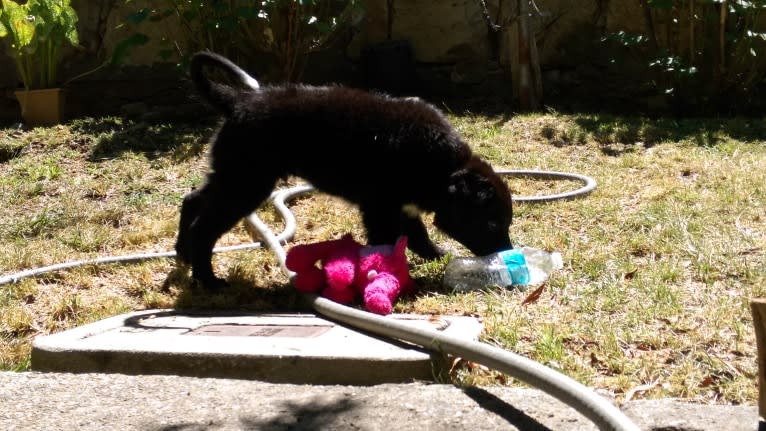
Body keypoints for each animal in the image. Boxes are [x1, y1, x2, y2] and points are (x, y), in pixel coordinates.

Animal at [176, 51, 512, 286]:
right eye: (492, 224)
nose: (507, 253)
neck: (442, 168)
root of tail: (237, 101)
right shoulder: (380, 207)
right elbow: (386, 242)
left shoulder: (401, 206)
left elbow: (418, 237)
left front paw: (438, 256)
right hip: (247, 184)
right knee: (204, 227)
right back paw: (207, 279)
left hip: (233, 175)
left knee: (192, 200)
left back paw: (182, 253)